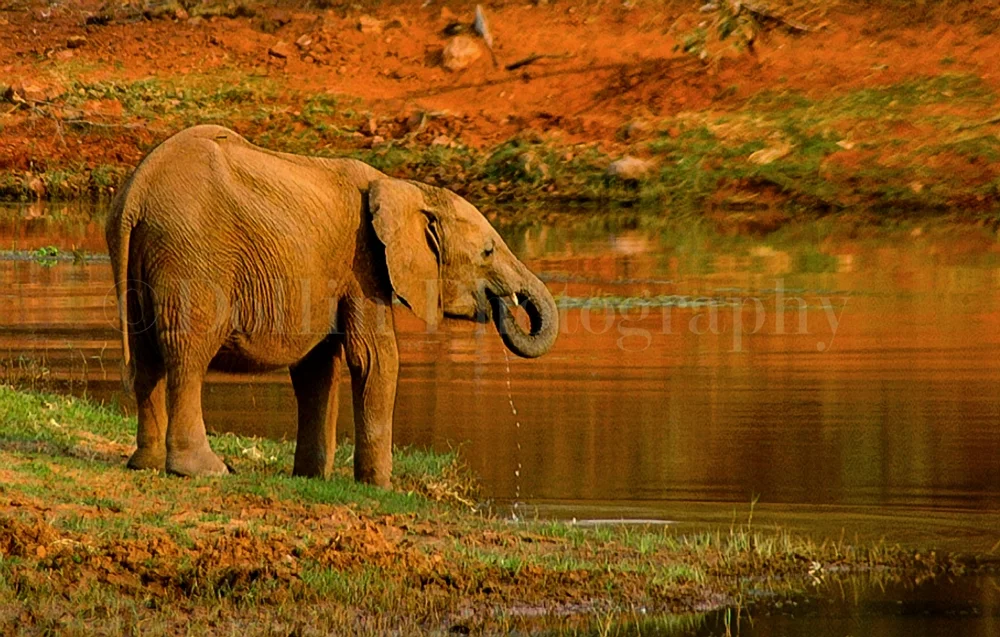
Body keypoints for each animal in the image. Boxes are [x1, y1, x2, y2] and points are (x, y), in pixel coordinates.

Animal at [105, 124, 558, 487]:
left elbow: (317, 367)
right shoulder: (364, 263)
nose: (505, 305)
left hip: (144, 257)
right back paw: (203, 471)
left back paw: (145, 464)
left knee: (147, 357)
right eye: (487, 251)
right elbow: (375, 358)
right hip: (193, 256)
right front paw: (379, 488)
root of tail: (138, 191)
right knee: (188, 354)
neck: (404, 187)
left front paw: (311, 477)